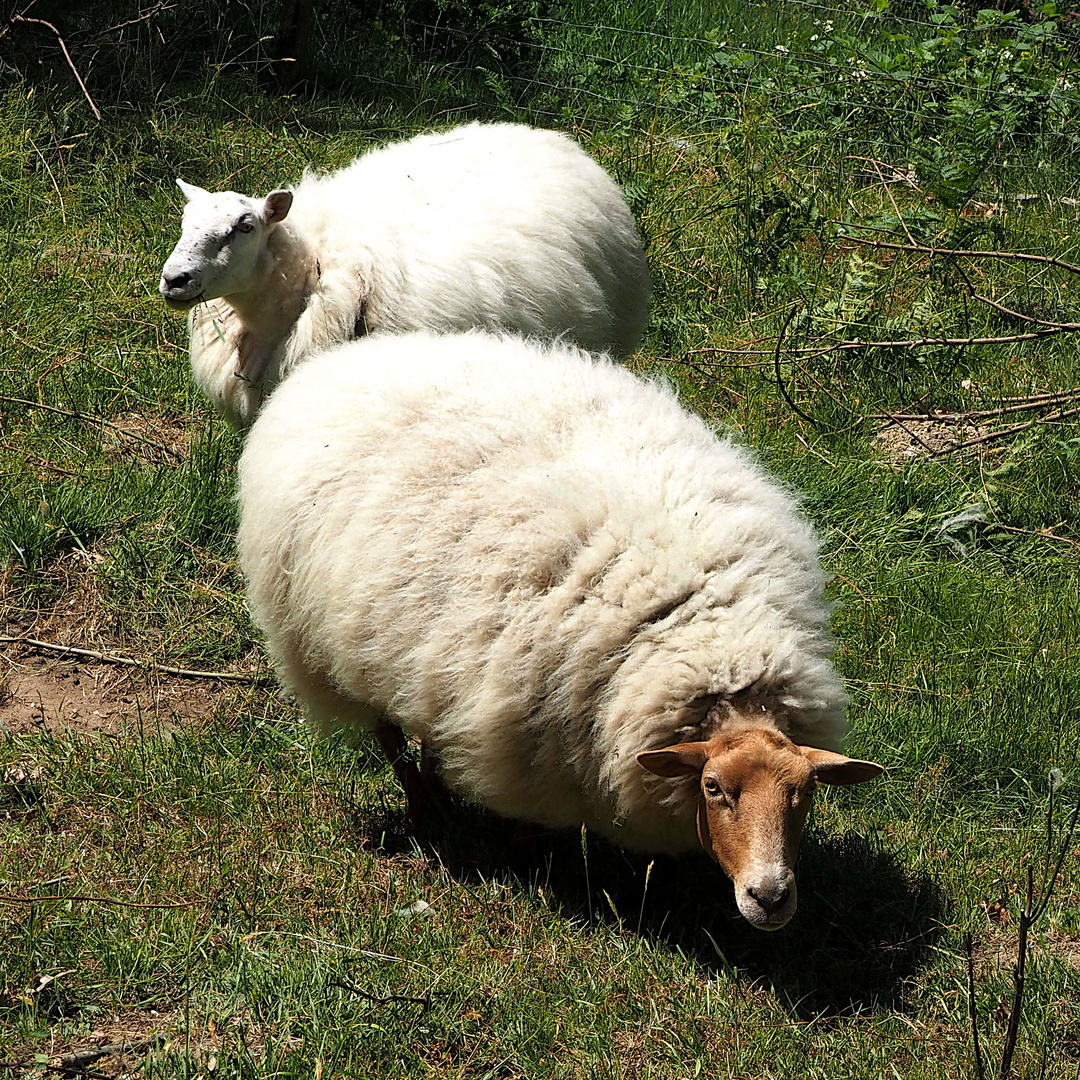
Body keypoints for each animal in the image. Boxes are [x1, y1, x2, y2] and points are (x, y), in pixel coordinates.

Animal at [240, 330, 881, 928]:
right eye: (713, 788)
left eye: (804, 793)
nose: (770, 898)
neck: (713, 648)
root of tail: (348, 358)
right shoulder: (528, 745)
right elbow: (529, 820)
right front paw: (523, 858)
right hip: (327, 642)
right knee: (387, 734)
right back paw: (429, 810)